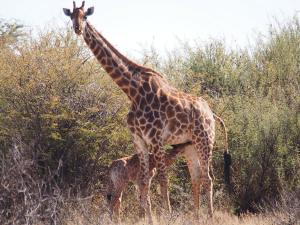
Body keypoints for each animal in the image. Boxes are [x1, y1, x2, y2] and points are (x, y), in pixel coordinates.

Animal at [63, 1, 232, 223]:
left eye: (85, 16)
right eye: (71, 16)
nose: (77, 28)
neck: (132, 91)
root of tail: (212, 114)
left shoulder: (156, 139)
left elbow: (162, 179)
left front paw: (168, 216)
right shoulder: (139, 140)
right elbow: (143, 183)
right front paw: (151, 218)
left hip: (205, 140)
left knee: (208, 178)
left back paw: (210, 216)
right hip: (190, 145)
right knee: (196, 178)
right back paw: (196, 217)